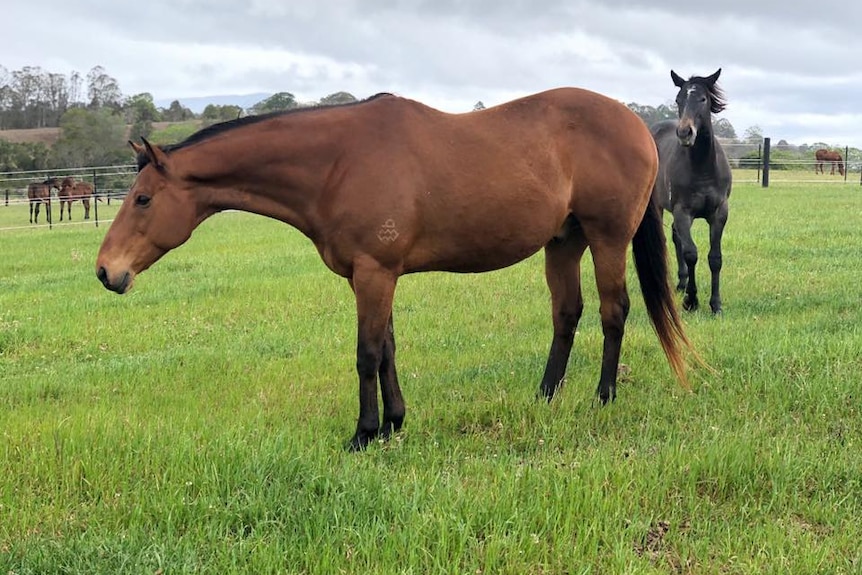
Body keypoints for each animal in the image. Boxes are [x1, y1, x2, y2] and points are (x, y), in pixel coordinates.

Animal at [99, 89, 708, 450]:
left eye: (144, 199)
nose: (107, 271)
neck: (338, 162)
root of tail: (636, 124)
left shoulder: (374, 273)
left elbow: (367, 354)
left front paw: (365, 433)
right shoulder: (375, 276)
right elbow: (388, 348)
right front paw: (394, 422)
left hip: (607, 238)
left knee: (613, 312)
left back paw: (602, 397)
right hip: (563, 242)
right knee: (568, 314)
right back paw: (544, 396)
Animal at [652, 70, 732, 318]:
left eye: (703, 99)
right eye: (678, 99)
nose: (685, 133)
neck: (702, 168)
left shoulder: (719, 213)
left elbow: (715, 258)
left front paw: (716, 305)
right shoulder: (683, 212)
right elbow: (691, 254)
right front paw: (692, 301)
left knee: (675, 236)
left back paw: (681, 282)